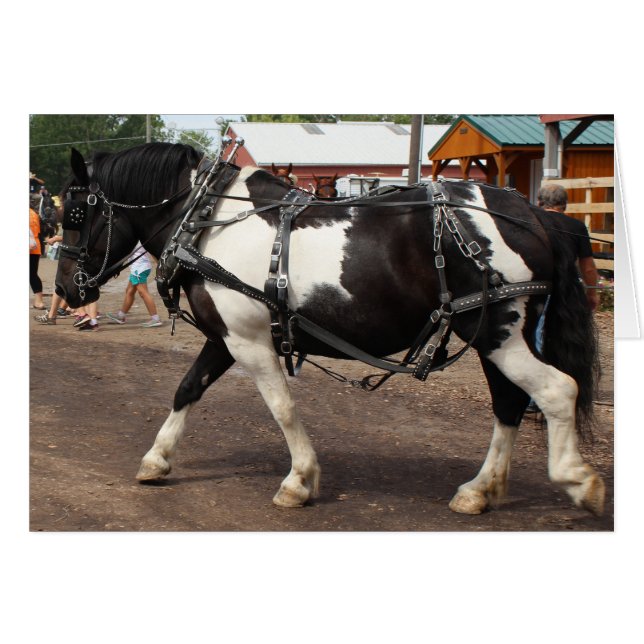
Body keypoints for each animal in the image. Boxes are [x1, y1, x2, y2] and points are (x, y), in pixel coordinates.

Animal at [55, 142, 605, 517]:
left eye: (77, 213)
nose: (65, 289)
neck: (206, 219)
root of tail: (530, 212)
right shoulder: (224, 337)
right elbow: (187, 388)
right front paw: (156, 459)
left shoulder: (249, 341)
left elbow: (281, 407)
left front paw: (299, 480)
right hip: (492, 334)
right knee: (509, 405)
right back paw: (479, 490)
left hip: (499, 333)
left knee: (557, 391)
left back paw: (577, 480)